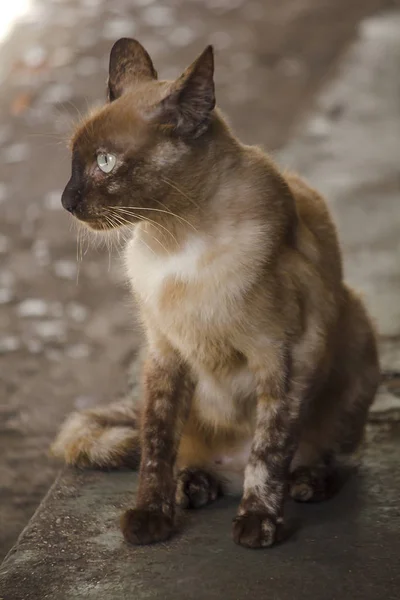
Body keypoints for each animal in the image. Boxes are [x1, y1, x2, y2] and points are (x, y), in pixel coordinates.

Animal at [51, 39, 380, 548]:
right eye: (72, 160)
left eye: (104, 162)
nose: (66, 202)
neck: (175, 243)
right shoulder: (164, 355)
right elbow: (156, 446)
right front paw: (151, 518)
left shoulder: (286, 356)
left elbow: (269, 450)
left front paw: (258, 522)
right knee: (180, 454)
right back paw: (193, 488)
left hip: (359, 333)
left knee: (328, 456)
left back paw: (305, 483)